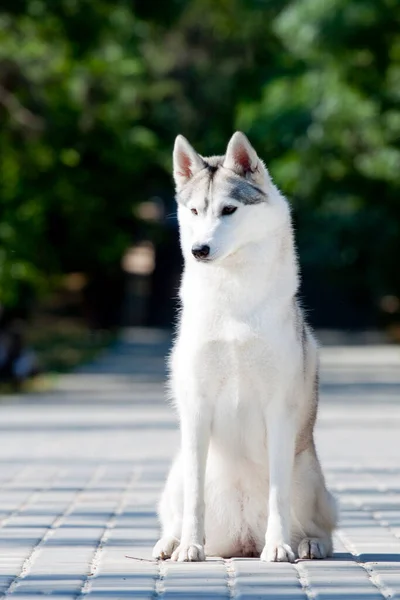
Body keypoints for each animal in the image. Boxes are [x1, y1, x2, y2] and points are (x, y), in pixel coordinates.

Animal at [152, 131, 336, 564]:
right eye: (196, 211)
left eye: (229, 210)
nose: (199, 250)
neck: (233, 297)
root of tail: (242, 539)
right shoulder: (197, 407)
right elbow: (195, 500)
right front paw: (190, 547)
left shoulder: (279, 410)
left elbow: (277, 496)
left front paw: (279, 546)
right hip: (177, 472)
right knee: (177, 512)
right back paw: (171, 543)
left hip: (308, 474)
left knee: (320, 525)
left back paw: (308, 543)